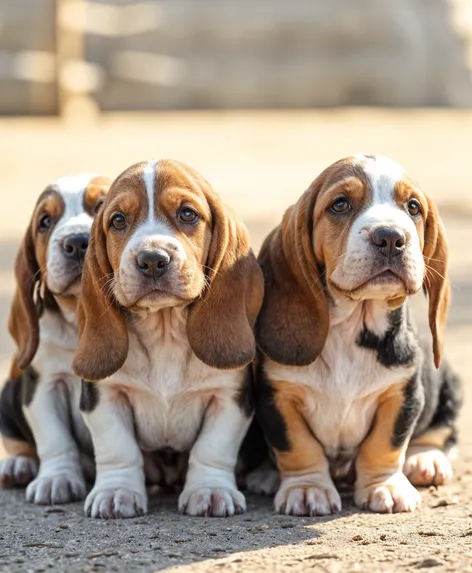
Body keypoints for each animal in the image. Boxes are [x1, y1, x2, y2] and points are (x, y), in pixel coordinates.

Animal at [0, 172, 110, 502]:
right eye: (45, 222)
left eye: (102, 205)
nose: (76, 243)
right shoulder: (44, 385)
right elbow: (54, 438)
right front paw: (56, 480)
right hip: (7, 397)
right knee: (20, 444)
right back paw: (17, 465)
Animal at [72, 158, 264, 520]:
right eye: (118, 220)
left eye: (187, 214)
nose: (152, 260)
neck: (164, 332)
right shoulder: (104, 396)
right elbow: (117, 447)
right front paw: (116, 492)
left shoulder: (229, 397)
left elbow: (213, 446)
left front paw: (210, 491)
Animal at [254, 155, 460, 512]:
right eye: (340, 204)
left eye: (414, 207)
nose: (390, 237)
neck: (352, 325)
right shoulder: (278, 396)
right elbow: (298, 446)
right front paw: (307, 488)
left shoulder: (402, 393)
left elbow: (385, 443)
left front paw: (384, 486)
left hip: (446, 381)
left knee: (442, 431)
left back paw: (426, 460)